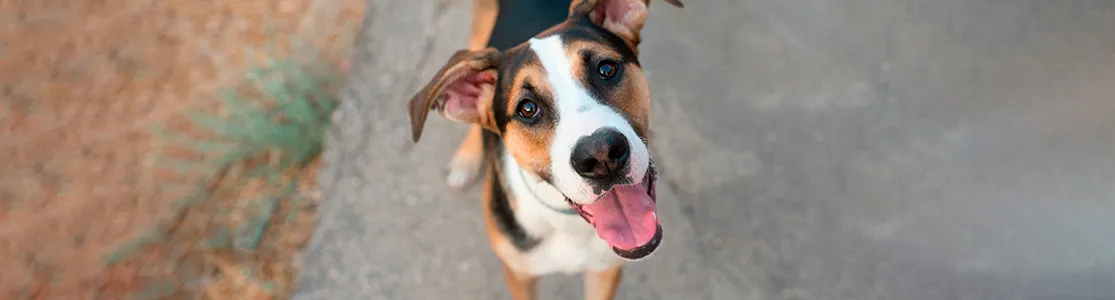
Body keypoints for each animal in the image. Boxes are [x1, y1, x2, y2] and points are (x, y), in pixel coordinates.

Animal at [408, 0, 677, 296]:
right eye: (527, 108)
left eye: (606, 69)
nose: (601, 156)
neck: (567, 221)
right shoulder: (520, 273)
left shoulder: (606, 270)